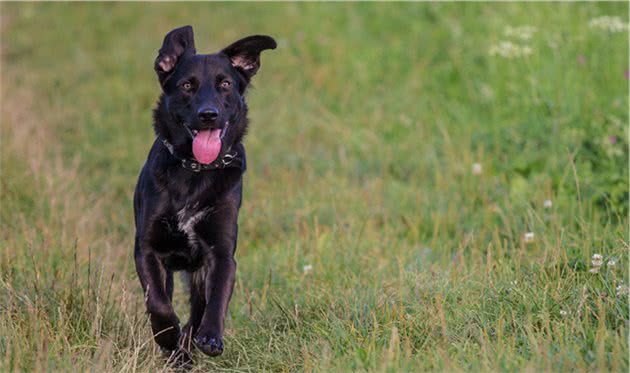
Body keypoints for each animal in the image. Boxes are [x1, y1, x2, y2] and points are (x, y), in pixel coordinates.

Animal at [135, 24, 276, 362]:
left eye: (225, 84)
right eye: (187, 85)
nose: (208, 114)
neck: (195, 170)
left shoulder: (221, 254)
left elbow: (216, 301)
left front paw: (209, 337)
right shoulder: (147, 249)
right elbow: (157, 302)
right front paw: (168, 335)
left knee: (198, 307)